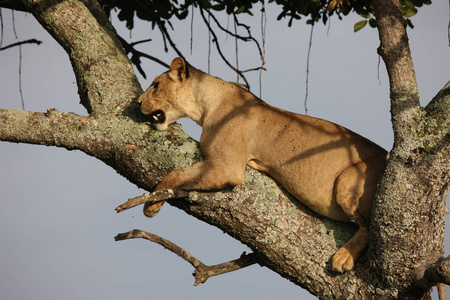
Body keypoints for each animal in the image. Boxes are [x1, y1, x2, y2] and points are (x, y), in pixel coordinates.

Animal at [137, 56, 386, 272]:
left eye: (156, 85)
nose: (138, 102)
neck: (205, 104)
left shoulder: (228, 167)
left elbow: (176, 174)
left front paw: (151, 205)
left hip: (348, 178)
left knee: (370, 228)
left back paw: (343, 258)